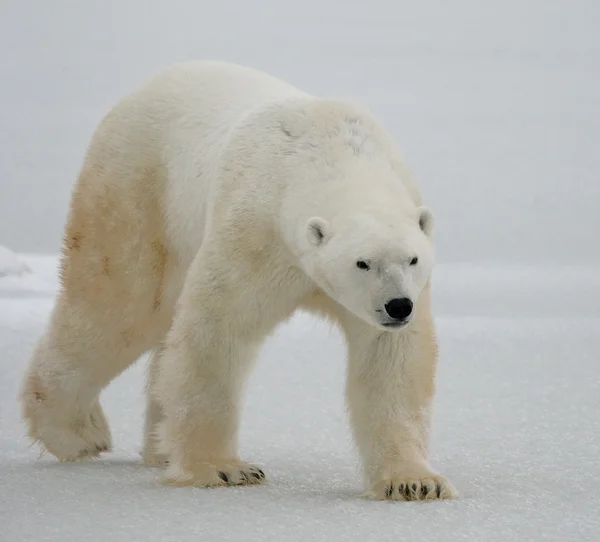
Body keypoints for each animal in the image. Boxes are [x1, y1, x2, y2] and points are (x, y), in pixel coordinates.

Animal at [21, 59, 458, 502]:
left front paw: (413, 481)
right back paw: (77, 433)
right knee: (122, 306)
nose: (398, 306)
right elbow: (218, 330)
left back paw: (159, 448)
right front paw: (224, 469)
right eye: (362, 263)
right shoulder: (257, 232)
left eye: (413, 259)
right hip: (139, 190)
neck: (329, 150)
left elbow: (390, 360)